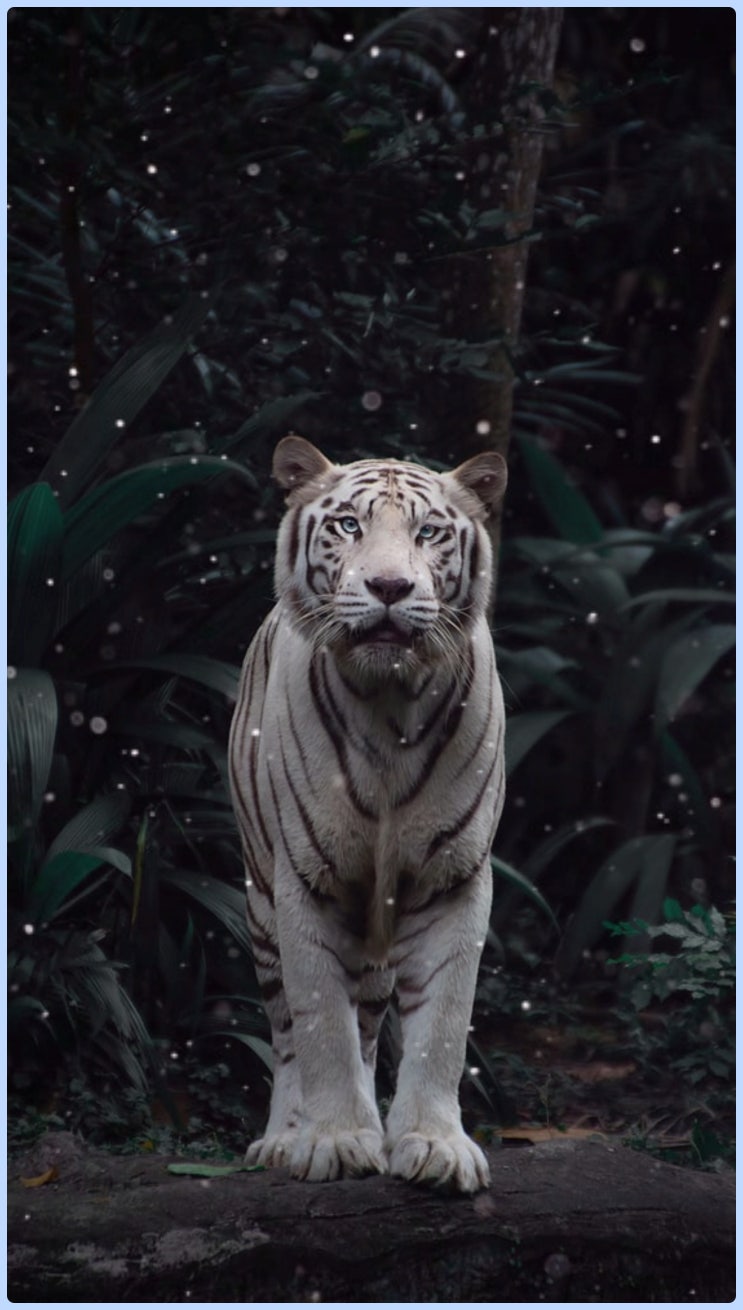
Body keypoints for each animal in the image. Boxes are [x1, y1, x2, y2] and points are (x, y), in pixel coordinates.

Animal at [229, 434, 508, 1194]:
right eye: (348, 525)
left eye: (429, 532)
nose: (388, 588)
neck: (390, 708)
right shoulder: (305, 881)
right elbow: (320, 1022)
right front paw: (334, 1141)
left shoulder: (454, 881)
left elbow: (443, 1024)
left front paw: (433, 1145)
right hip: (260, 903)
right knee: (287, 1032)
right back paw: (282, 1139)